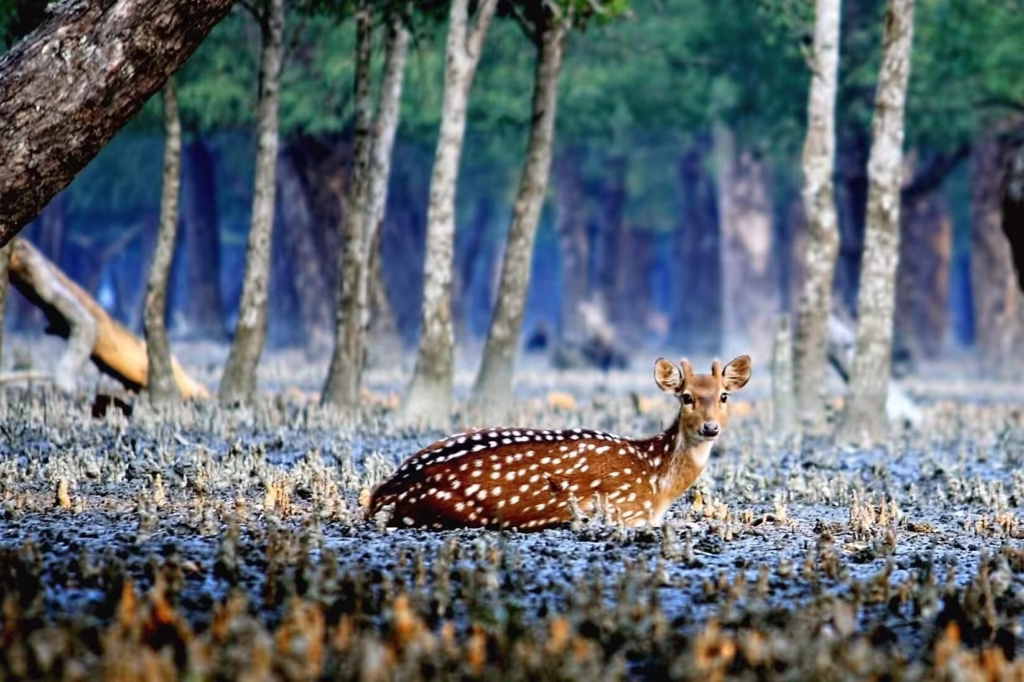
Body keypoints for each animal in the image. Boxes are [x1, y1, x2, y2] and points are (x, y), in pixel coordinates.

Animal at [368, 355, 752, 531]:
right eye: (686, 397)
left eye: (724, 395)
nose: (711, 428)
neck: (656, 480)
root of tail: (384, 493)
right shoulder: (626, 510)